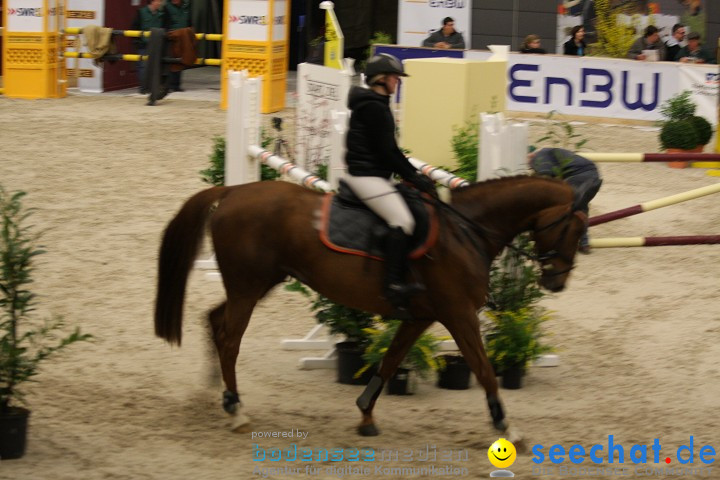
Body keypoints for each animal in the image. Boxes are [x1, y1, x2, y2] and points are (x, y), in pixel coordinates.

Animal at [155, 178, 588, 436]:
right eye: (577, 227)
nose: (557, 281)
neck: (466, 231)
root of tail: (232, 190)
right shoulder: (459, 315)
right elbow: (484, 370)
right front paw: (505, 426)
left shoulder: (422, 316)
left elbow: (391, 361)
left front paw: (366, 414)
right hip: (248, 287)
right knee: (230, 340)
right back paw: (237, 408)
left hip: (256, 284)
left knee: (214, 320)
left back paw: (220, 396)